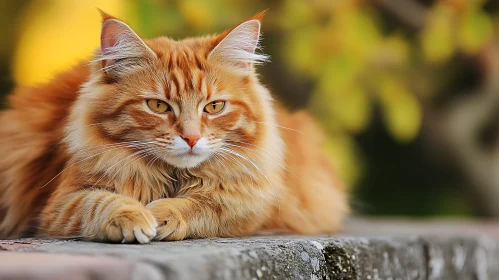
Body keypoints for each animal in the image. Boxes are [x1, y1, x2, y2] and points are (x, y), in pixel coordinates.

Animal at [0, 11, 348, 243]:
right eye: (158, 106)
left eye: (214, 107)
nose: (191, 137)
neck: (173, 176)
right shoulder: (60, 203)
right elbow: (101, 202)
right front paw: (134, 216)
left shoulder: (251, 204)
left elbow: (204, 206)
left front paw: (161, 214)